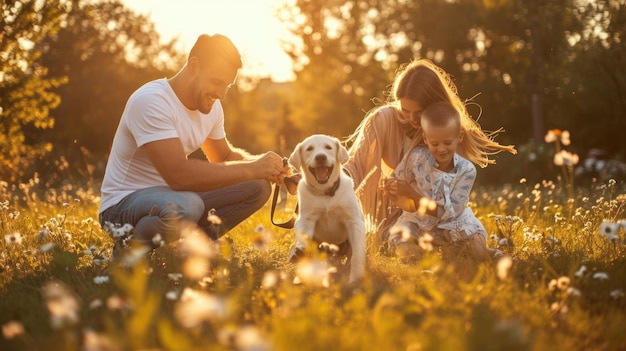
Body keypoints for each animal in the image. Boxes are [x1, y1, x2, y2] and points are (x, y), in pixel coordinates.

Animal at [288, 133, 366, 284]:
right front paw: (298, 252)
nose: (320, 157)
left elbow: (357, 256)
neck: (325, 193)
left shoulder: (354, 222)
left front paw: (354, 280)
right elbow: (303, 238)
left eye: (328, 147)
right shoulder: (305, 220)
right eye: (309, 149)